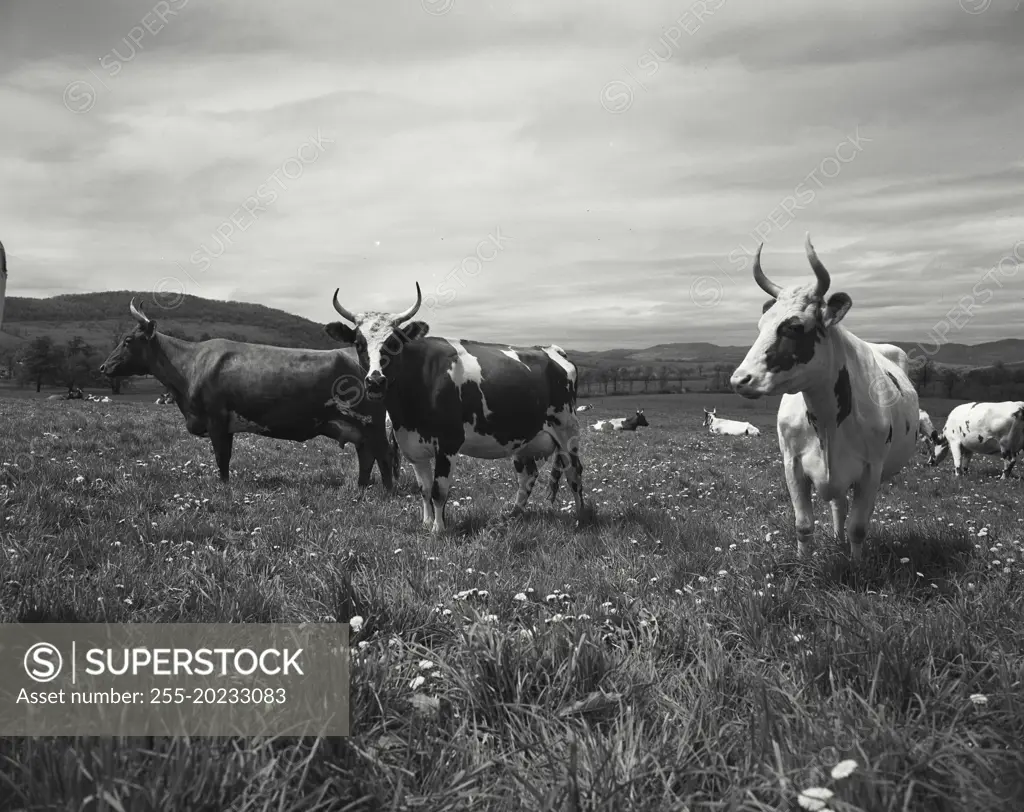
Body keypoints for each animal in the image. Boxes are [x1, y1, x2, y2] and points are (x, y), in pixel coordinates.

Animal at [98, 296, 395, 491]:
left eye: (127, 340)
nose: (103, 367)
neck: (190, 364)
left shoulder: (216, 419)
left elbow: (221, 457)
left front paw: (223, 488)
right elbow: (225, 457)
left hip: (373, 422)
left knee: (383, 454)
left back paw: (387, 492)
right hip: (357, 427)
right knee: (366, 455)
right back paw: (360, 489)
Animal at [323, 282, 581, 532]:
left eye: (394, 343)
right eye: (359, 344)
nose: (375, 381)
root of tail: (551, 349)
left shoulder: (448, 442)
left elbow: (439, 490)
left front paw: (439, 530)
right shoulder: (412, 447)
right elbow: (424, 489)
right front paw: (426, 523)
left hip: (566, 430)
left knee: (574, 473)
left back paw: (581, 516)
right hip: (523, 439)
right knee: (528, 476)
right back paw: (512, 515)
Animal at [729, 235, 921, 565]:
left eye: (794, 326)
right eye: (760, 325)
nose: (741, 379)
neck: (828, 421)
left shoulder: (871, 472)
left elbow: (859, 527)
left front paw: (856, 567)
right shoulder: (792, 465)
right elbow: (804, 525)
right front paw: (804, 564)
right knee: (837, 506)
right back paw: (836, 539)